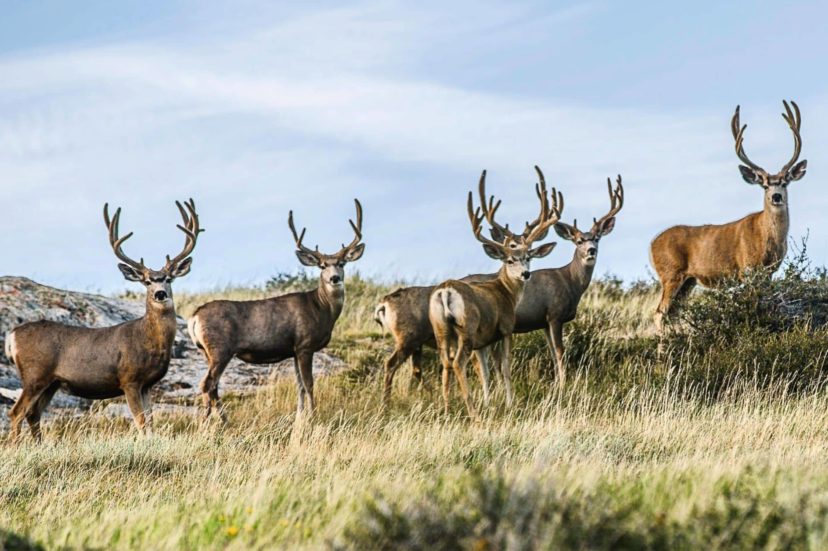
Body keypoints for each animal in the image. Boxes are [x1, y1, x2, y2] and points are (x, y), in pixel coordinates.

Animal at [4, 198, 202, 440]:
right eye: (146, 281)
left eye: (169, 279)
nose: (160, 294)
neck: (150, 341)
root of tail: (12, 335)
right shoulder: (129, 379)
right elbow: (140, 422)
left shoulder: (147, 385)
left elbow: (150, 423)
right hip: (35, 374)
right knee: (16, 412)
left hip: (51, 382)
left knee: (33, 414)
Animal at [192, 201, 368, 420]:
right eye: (322, 265)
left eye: (342, 263)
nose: (334, 278)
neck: (321, 309)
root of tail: (195, 316)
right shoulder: (304, 344)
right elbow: (309, 384)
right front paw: (313, 415)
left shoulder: (293, 350)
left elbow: (299, 386)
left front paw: (300, 417)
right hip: (220, 349)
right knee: (207, 384)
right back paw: (207, 423)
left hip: (206, 352)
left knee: (213, 387)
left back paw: (222, 421)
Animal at [426, 168, 564, 418]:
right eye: (510, 260)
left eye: (528, 257)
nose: (526, 274)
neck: (505, 292)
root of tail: (445, 292)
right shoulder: (506, 328)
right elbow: (505, 367)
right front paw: (509, 402)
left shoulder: (484, 341)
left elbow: (487, 371)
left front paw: (489, 402)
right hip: (467, 326)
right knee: (458, 362)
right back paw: (472, 412)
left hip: (441, 328)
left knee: (445, 363)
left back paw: (447, 408)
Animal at [652, 101, 804, 330]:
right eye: (764, 185)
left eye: (785, 182)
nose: (776, 196)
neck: (766, 238)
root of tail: (651, 245)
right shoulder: (747, 268)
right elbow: (753, 305)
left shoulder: (769, 271)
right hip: (670, 273)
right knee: (659, 314)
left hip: (688, 281)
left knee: (672, 314)